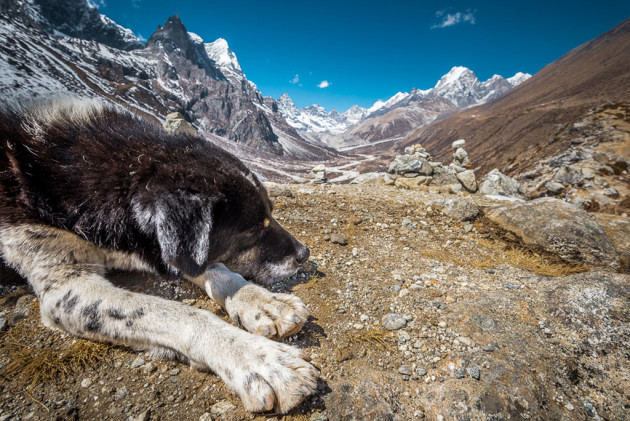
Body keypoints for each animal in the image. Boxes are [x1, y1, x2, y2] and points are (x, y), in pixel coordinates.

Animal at [0, 97, 318, 410]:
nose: (304, 253)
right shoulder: (66, 289)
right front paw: (259, 359)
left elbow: (217, 270)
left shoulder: (179, 248)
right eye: (252, 233)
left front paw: (264, 302)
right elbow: (180, 314)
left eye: (271, 214)